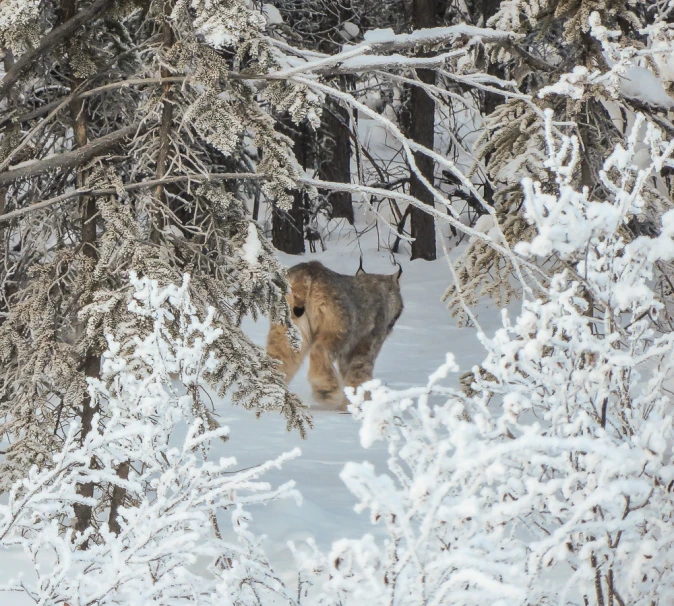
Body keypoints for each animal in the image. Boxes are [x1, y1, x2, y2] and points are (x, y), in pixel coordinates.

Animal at [262, 258, 402, 410]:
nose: (392, 326)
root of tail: (310, 267)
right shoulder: (366, 345)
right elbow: (359, 375)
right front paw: (359, 405)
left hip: (286, 327)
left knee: (278, 357)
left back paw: (269, 393)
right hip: (338, 327)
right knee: (319, 351)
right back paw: (326, 391)